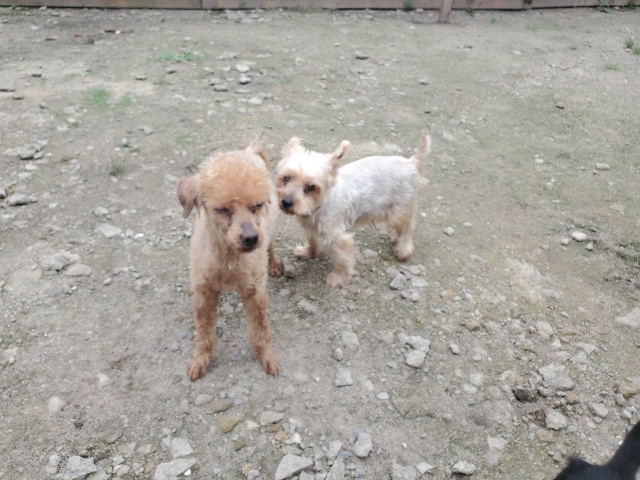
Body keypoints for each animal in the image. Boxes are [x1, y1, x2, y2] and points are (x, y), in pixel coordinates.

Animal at [177, 133, 283, 380]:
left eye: (256, 205)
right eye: (222, 209)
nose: (251, 238)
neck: (228, 260)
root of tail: (251, 152)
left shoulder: (255, 293)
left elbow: (261, 329)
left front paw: (267, 356)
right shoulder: (204, 294)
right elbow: (204, 333)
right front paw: (201, 360)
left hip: (270, 229)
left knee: (271, 245)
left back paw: (274, 264)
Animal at [276, 130, 430, 287]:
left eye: (311, 187)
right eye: (286, 178)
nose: (286, 202)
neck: (319, 206)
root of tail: (411, 162)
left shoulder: (338, 237)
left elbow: (342, 258)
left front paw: (338, 276)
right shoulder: (311, 228)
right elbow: (312, 241)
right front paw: (308, 252)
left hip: (397, 212)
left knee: (408, 226)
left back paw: (405, 250)